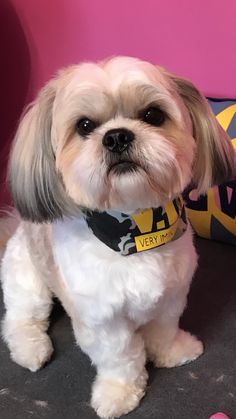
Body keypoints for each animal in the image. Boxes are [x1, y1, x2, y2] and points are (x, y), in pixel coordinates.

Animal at [0, 56, 235, 419]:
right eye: (84, 125)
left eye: (153, 115)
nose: (116, 137)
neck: (136, 231)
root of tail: (15, 225)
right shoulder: (102, 320)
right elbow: (120, 357)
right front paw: (119, 393)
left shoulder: (171, 296)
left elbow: (164, 329)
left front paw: (174, 352)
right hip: (27, 281)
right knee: (20, 319)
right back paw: (31, 350)